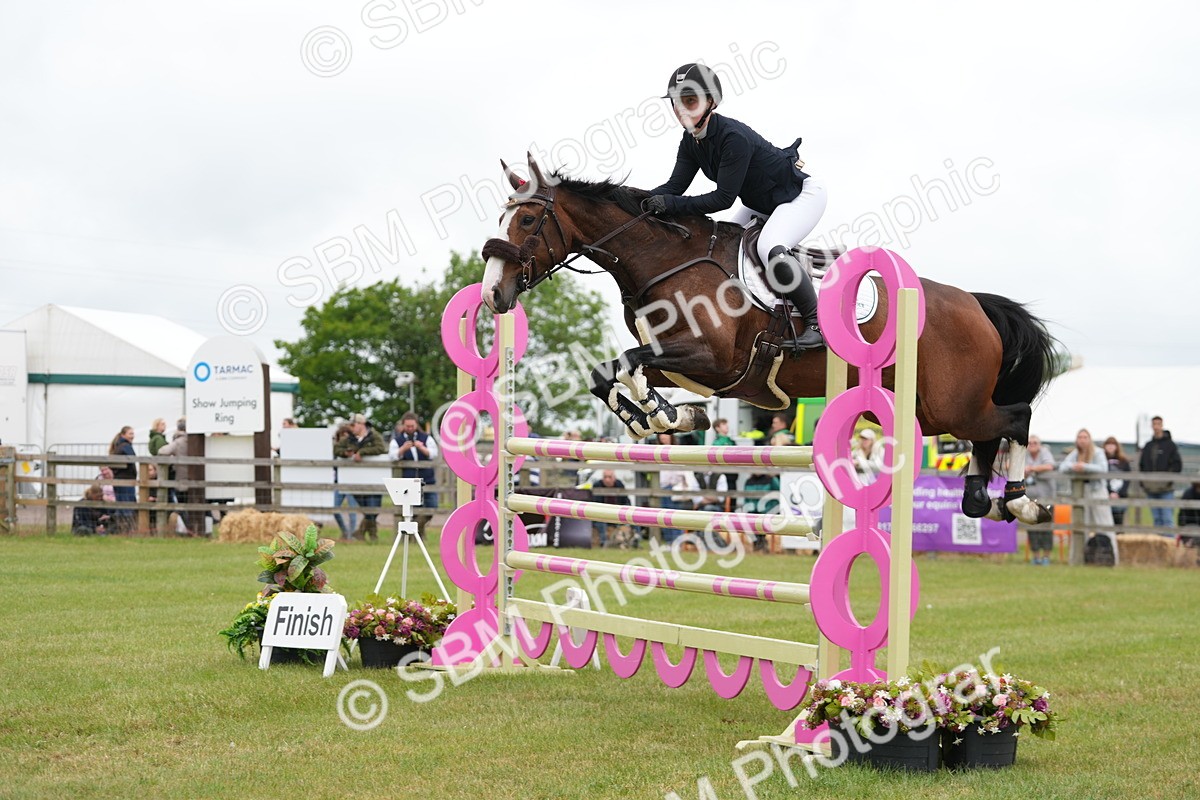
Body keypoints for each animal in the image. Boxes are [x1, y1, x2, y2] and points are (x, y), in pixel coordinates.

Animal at [480, 154, 1057, 525]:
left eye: (526, 218)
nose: (492, 294)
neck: (665, 258)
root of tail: (972, 303)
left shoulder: (715, 360)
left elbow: (627, 363)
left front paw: (662, 415)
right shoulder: (682, 363)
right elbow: (612, 372)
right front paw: (668, 417)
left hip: (947, 406)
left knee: (1015, 417)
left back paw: (1021, 501)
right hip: (935, 409)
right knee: (990, 434)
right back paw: (983, 498)